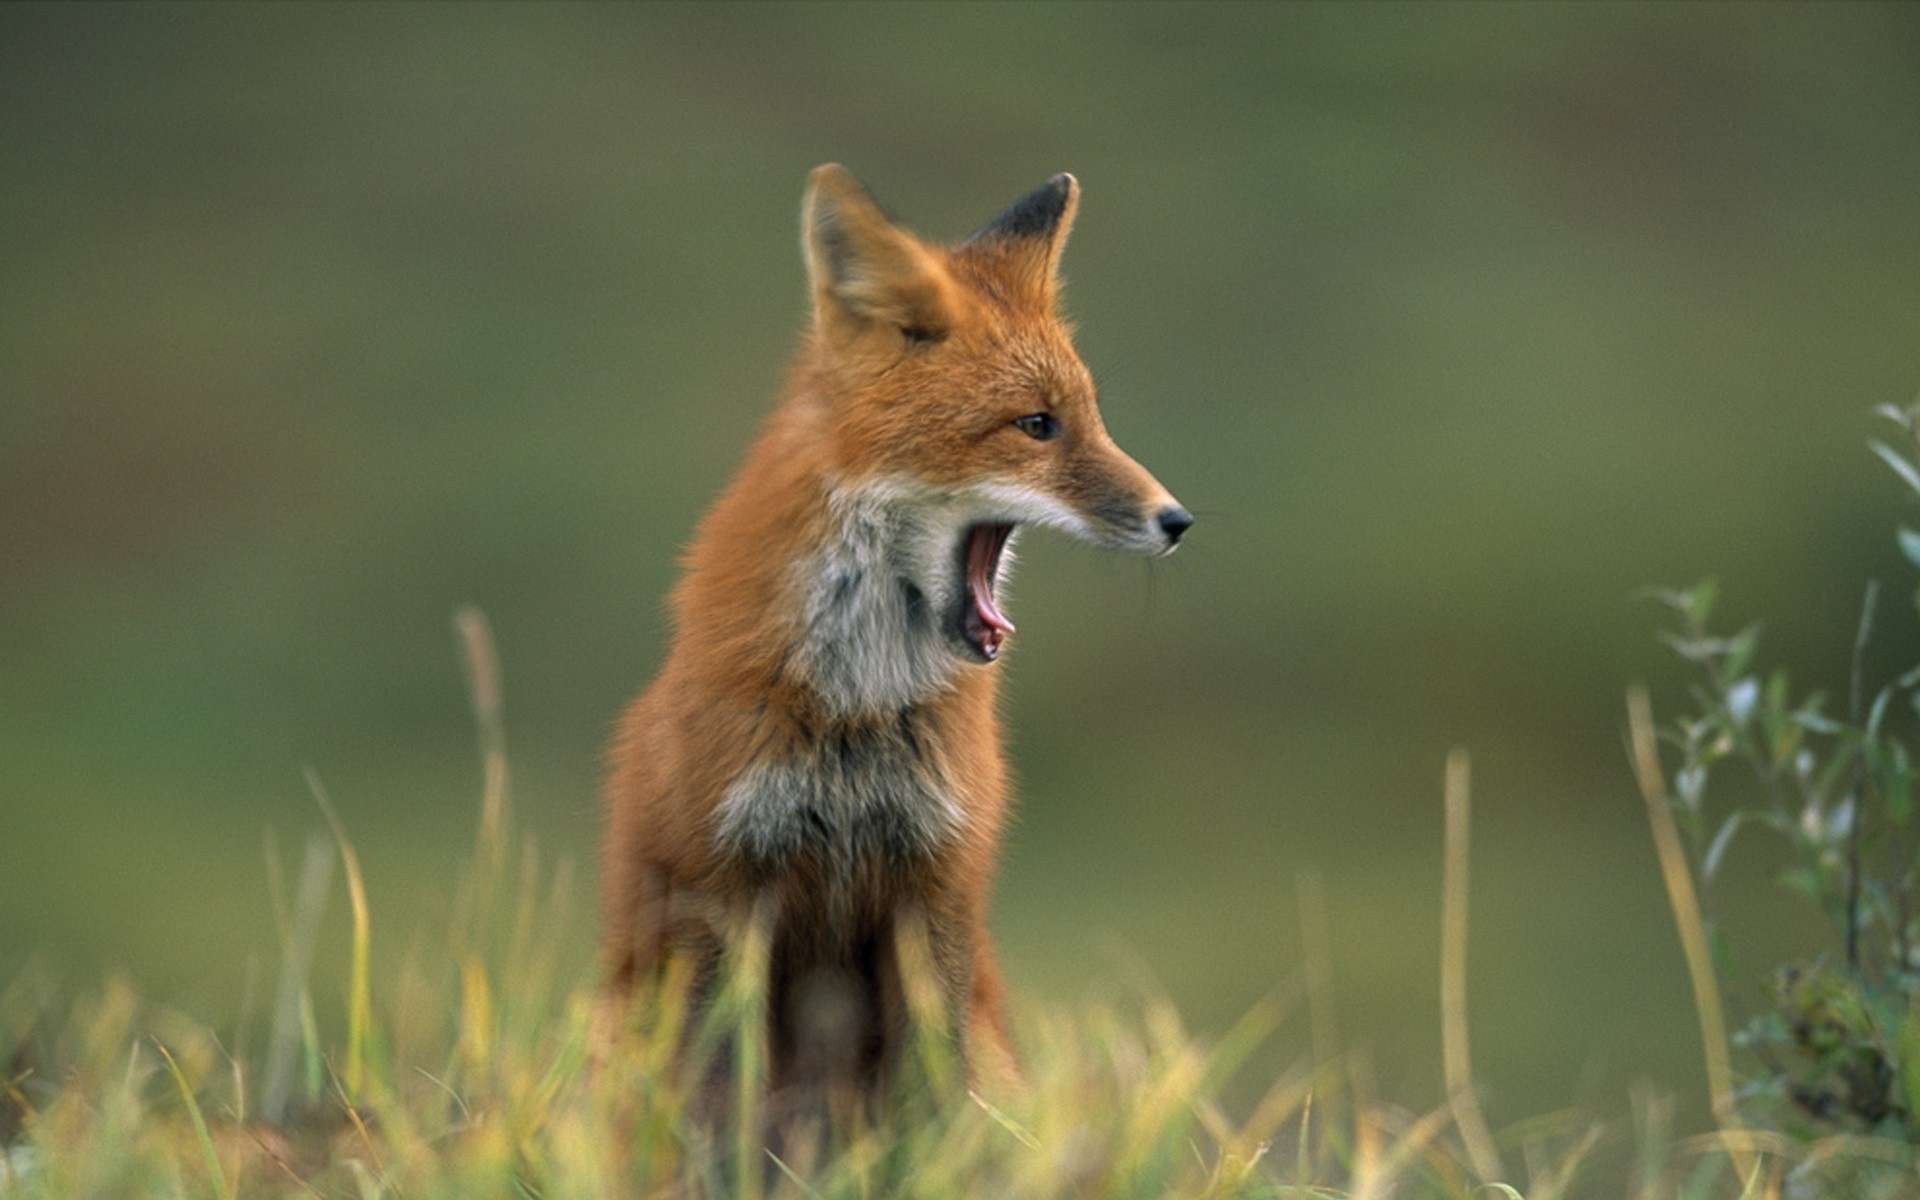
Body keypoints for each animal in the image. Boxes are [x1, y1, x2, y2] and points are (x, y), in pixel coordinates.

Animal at [598, 164, 1192, 1101]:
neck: (856, 711)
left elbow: (938, 1096)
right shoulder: (718, 890)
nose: (1177, 520)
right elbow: (712, 1098)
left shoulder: (936, 885)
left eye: (1092, 418)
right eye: (1037, 425)